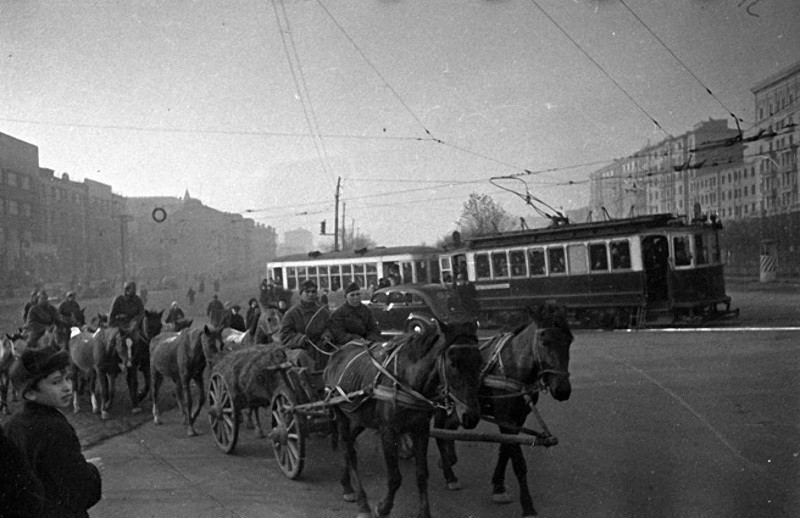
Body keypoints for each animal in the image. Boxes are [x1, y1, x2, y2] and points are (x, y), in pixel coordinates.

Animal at [324, 320, 484, 518]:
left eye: (480, 362)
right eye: (453, 363)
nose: (471, 416)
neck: (408, 382)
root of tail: (336, 353)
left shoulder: (421, 429)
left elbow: (422, 474)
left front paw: (424, 512)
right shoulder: (388, 431)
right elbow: (394, 477)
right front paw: (383, 507)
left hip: (359, 417)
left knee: (348, 445)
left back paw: (347, 486)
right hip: (341, 415)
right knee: (348, 449)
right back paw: (362, 502)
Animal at [434, 306, 572, 516]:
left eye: (570, 340)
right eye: (545, 342)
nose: (563, 389)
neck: (513, 365)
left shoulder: (517, 418)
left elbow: (505, 450)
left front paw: (498, 486)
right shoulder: (505, 417)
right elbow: (518, 461)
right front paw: (528, 505)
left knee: (448, 427)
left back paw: (448, 460)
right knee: (438, 429)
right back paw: (449, 474)